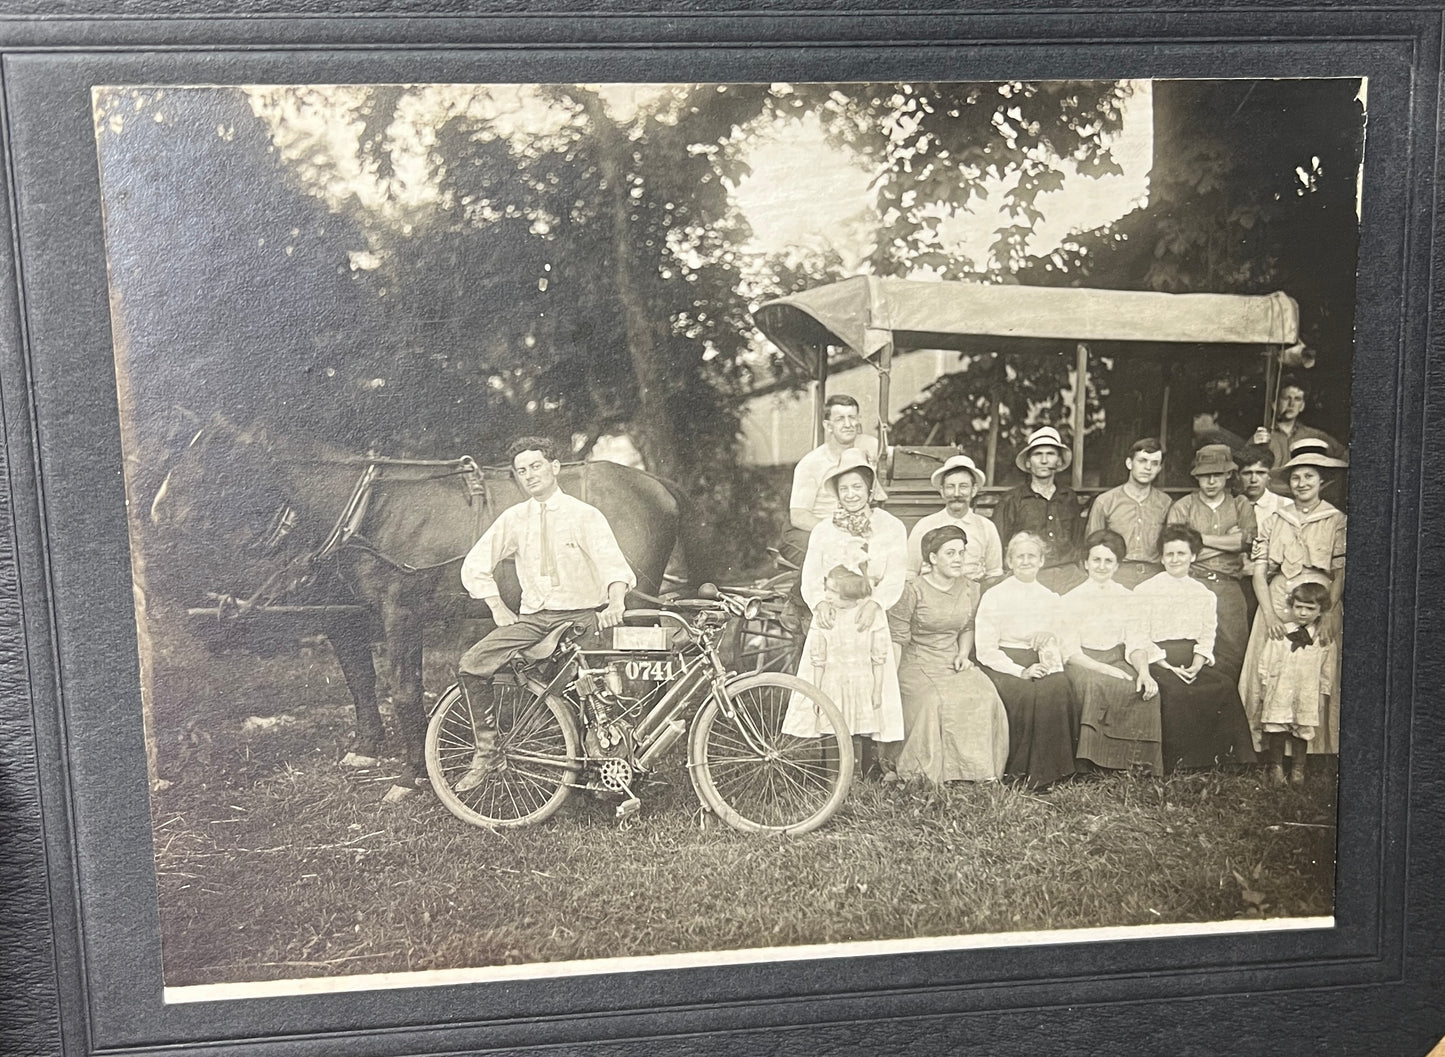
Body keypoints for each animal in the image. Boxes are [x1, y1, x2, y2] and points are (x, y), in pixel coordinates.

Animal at [152, 419, 699, 792]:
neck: (369, 510)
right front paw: (367, 750)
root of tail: (659, 486)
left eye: (211, 458)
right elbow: (360, 680)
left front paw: (411, 774)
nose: (157, 512)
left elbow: (402, 691)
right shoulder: (349, 618)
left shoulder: (400, 613)